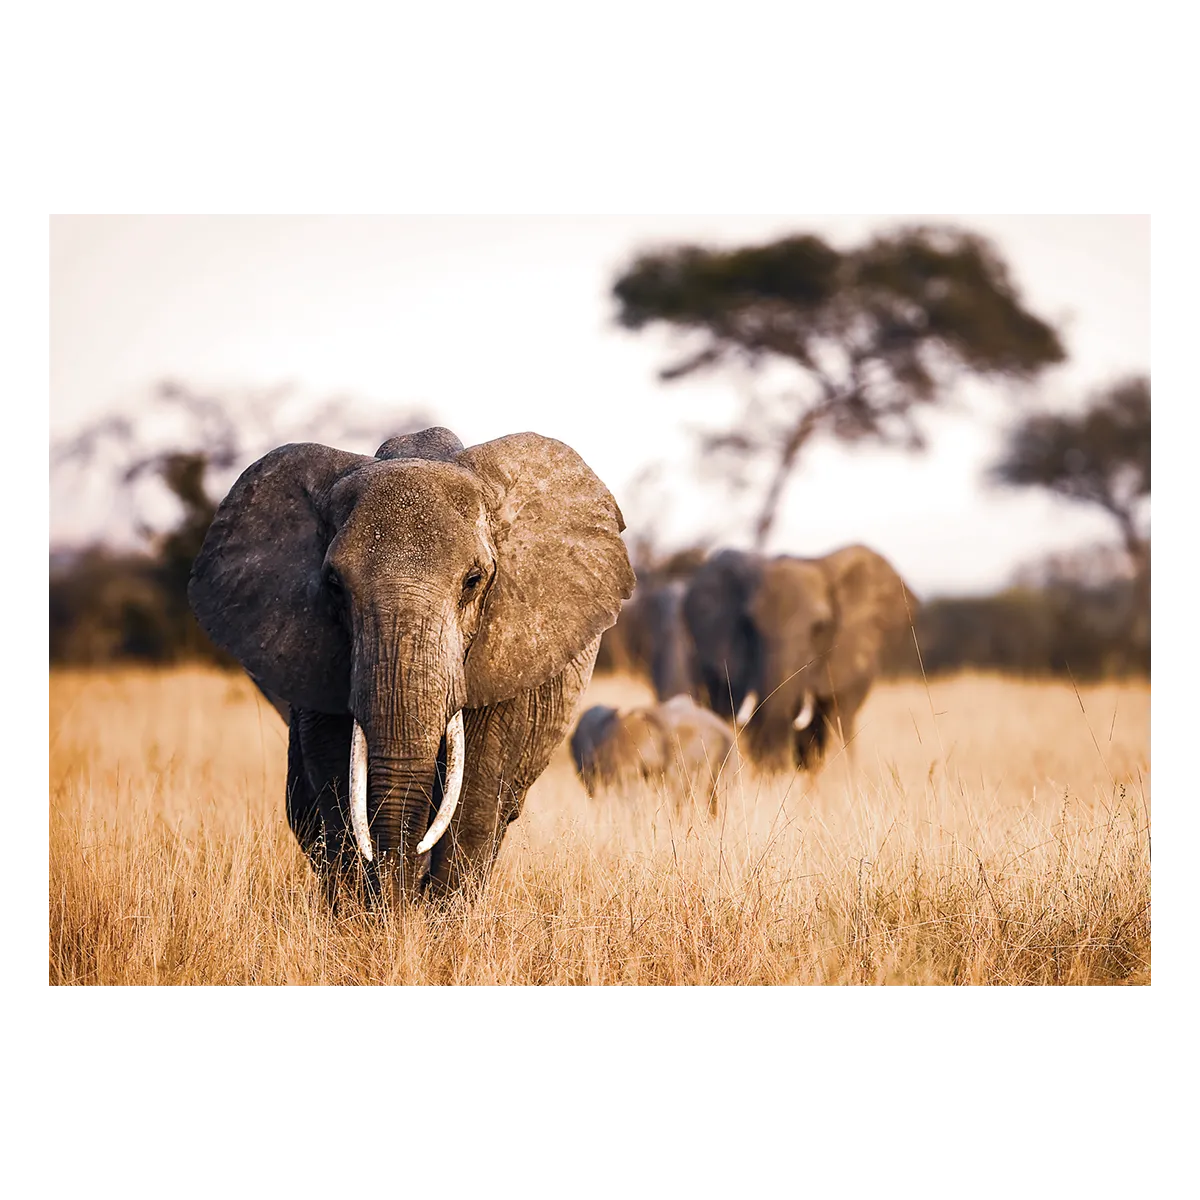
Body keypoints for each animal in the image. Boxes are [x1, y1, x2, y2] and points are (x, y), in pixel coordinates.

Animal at [188, 426, 635, 905]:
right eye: (334, 585)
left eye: (473, 581)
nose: (401, 900)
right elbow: (336, 778)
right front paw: (364, 914)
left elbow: (475, 791)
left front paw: (440, 916)